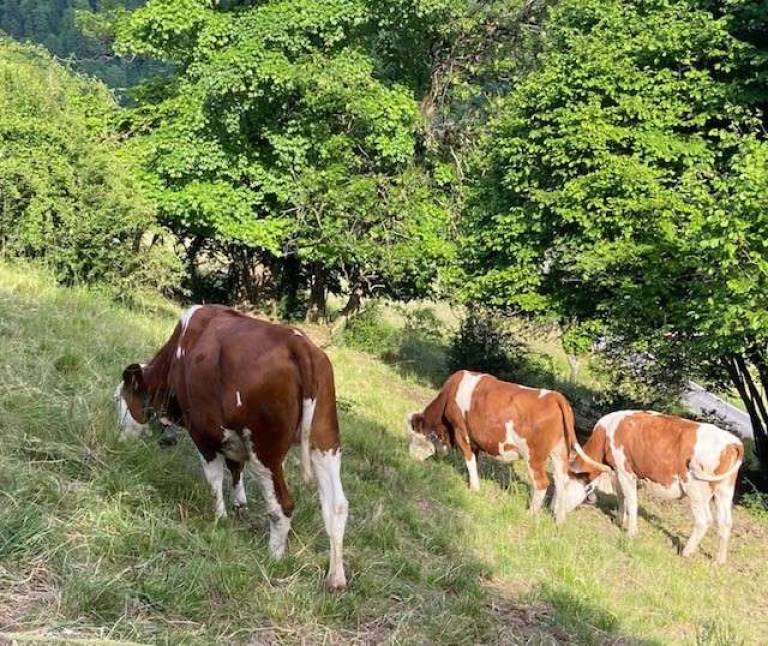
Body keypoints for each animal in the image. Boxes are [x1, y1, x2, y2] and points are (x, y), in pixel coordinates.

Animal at [117, 304, 349, 590]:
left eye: (120, 397)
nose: (118, 438)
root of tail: (298, 343)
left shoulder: (203, 431)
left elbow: (215, 476)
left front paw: (220, 517)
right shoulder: (230, 435)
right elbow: (235, 468)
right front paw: (240, 505)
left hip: (265, 450)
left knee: (282, 506)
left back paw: (274, 558)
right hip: (325, 441)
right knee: (336, 505)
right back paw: (336, 578)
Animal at [407, 370, 610, 523]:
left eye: (414, 436)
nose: (410, 457)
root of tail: (554, 396)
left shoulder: (461, 431)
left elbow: (469, 459)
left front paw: (474, 488)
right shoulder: (474, 438)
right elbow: (475, 459)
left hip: (534, 456)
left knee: (542, 483)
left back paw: (530, 514)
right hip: (560, 453)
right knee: (562, 482)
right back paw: (559, 520)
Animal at [565, 410, 744, 563]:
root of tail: (732, 442)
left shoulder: (625, 471)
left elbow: (631, 502)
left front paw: (631, 533)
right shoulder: (617, 471)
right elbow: (621, 496)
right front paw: (619, 520)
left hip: (696, 489)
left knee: (704, 520)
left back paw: (686, 552)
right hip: (724, 490)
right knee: (725, 522)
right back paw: (719, 560)